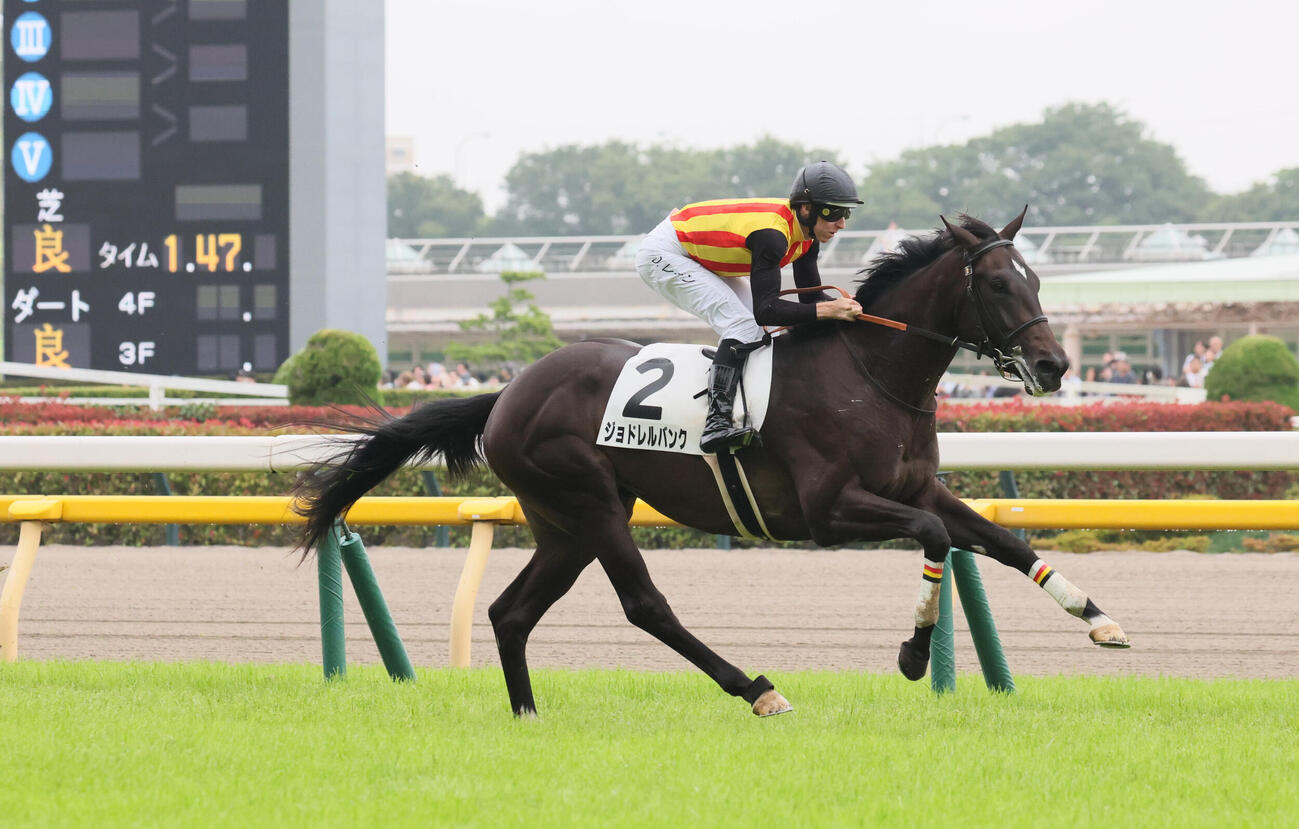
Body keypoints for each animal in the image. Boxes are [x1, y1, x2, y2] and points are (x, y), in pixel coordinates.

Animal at [293, 207, 1130, 718]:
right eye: (995, 282)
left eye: (1035, 279)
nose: (1053, 365)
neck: (871, 371)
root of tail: (506, 391)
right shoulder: (829, 511)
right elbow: (933, 537)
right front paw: (913, 653)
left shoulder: (916, 484)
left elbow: (1001, 538)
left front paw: (1100, 618)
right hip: (590, 502)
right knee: (644, 604)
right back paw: (756, 687)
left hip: (564, 520)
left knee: (511, 611)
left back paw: (527, 712)